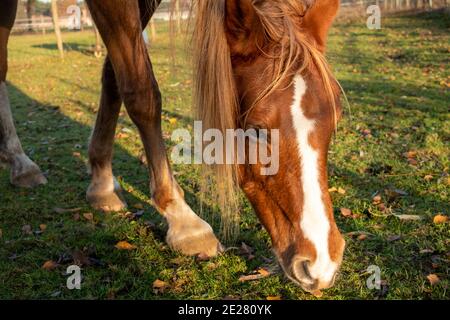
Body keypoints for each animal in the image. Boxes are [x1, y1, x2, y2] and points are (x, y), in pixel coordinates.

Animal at [0, 0, 344, 294]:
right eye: (257, 130)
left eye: (335, 119)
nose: (321, 264)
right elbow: (140, 90)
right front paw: (183, 219)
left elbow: (113, 77)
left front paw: (102, 182)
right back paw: (21, 164)